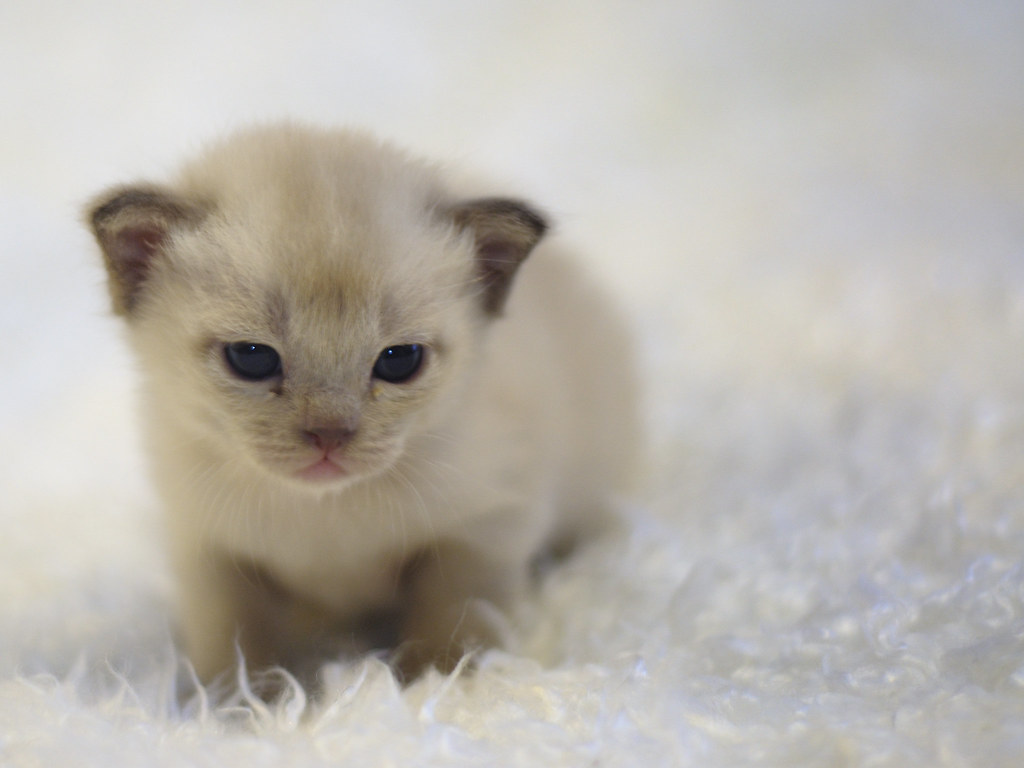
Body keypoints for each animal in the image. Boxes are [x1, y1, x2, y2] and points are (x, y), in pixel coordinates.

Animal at [86, 124, 638, 684]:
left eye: (399, 361)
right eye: (251, 358)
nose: (329, 435)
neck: (326, 511)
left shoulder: (482, 530)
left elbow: (451, 624)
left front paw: (433, 686)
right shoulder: (212, 550)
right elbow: (235, 641)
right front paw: (239, 700)